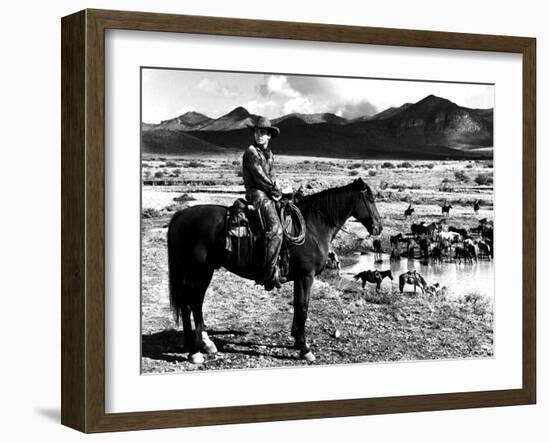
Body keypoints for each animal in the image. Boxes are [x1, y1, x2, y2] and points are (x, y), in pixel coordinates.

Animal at [168, 178, 384, 364]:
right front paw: (305, 349)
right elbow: (303, 308)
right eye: (370, 199)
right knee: (188, 305)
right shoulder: (306, 276)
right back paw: (194, 352)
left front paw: (296, 340)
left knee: (196, 303)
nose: (379, 227)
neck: (313, 226)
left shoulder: (299, 277)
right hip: (196, 272)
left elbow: (297, 306)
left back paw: (206, 344)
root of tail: (181, 216)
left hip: (204, 272)